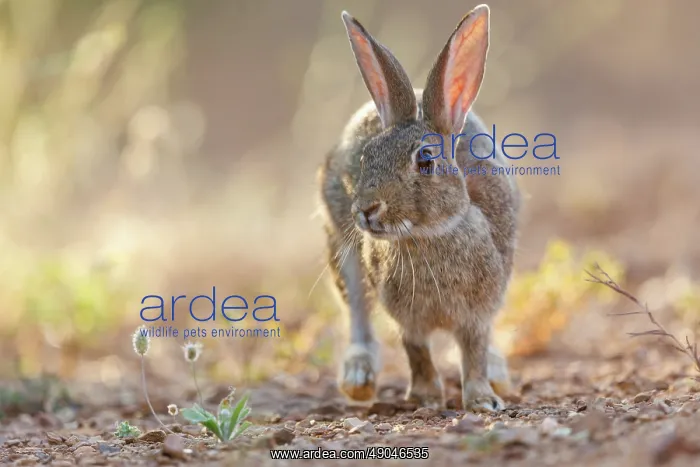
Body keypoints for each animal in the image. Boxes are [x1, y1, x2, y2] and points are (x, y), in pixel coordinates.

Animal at [317, 4, 520, 412]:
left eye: (425, 161)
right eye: (365, 157)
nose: (366, 209)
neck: (428, 235)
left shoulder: (478, 313)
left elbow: (474, 351)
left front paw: (482, 400)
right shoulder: (406, 318)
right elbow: (417, 351)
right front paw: (425, 396)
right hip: (342, 252)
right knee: (358, 314)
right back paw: (358, 378)